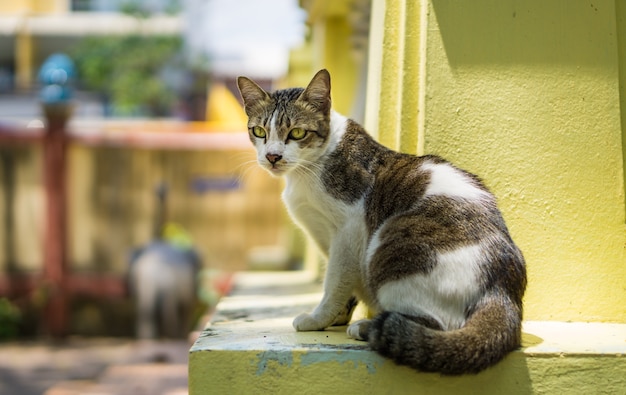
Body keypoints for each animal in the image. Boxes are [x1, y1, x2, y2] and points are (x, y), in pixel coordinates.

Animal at [236, 69, 524, 376]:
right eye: (259, 131)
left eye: (297, 132)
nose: (272, 156)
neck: (308, 171)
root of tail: (502, 289)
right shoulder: (327, 238)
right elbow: (345, 285)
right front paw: (336, 318)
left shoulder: (348, 230)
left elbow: (334, 282)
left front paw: (318, 318)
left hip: (389, 246)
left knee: (435, 326)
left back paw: (368, 327)